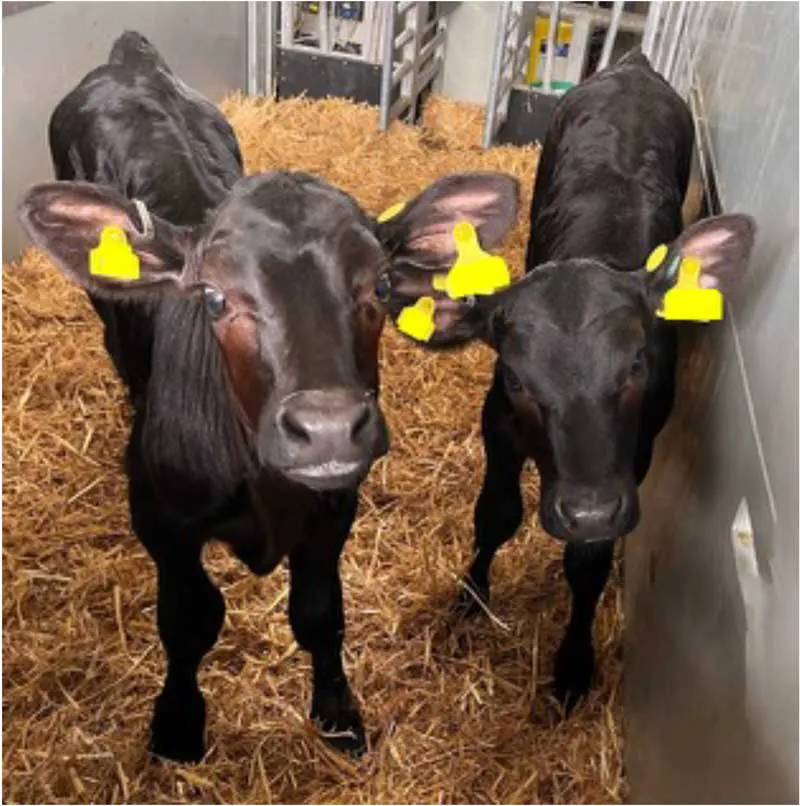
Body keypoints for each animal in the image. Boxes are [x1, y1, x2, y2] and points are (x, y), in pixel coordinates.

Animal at [17, 31, 520, 762]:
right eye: (214, 296)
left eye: (380, 285)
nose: (329, 426)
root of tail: (130, 61)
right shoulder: (163, 523)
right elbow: (190, 620)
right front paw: (177, 724)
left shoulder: (333, 511)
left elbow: (319, 613)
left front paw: (337, 711)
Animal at [378, 49, 756, 711]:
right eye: (518, 378)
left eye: (637, 365)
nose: (588, 509)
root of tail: (632, 64)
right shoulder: (499, 424)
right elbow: (496, 513)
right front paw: (471, 597)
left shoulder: (633, 456)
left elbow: (588, 561)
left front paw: (574, 665)